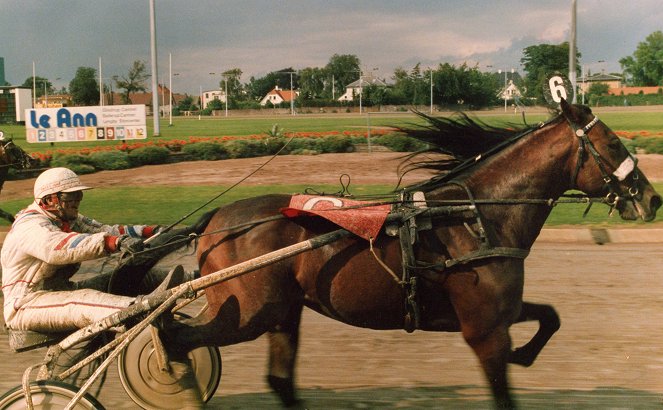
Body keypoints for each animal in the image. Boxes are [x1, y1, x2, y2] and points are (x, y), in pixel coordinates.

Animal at [163, 100, 660, 410]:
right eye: (613, 143)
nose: (652, 199)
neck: (474, 216)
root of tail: (215, 220)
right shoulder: (483, 331)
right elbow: (502, 387)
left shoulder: (498, 312)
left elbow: (551, 316)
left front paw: (525, 354)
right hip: (251, 311)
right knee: (178, 336)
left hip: (283, 312)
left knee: (279, 380)